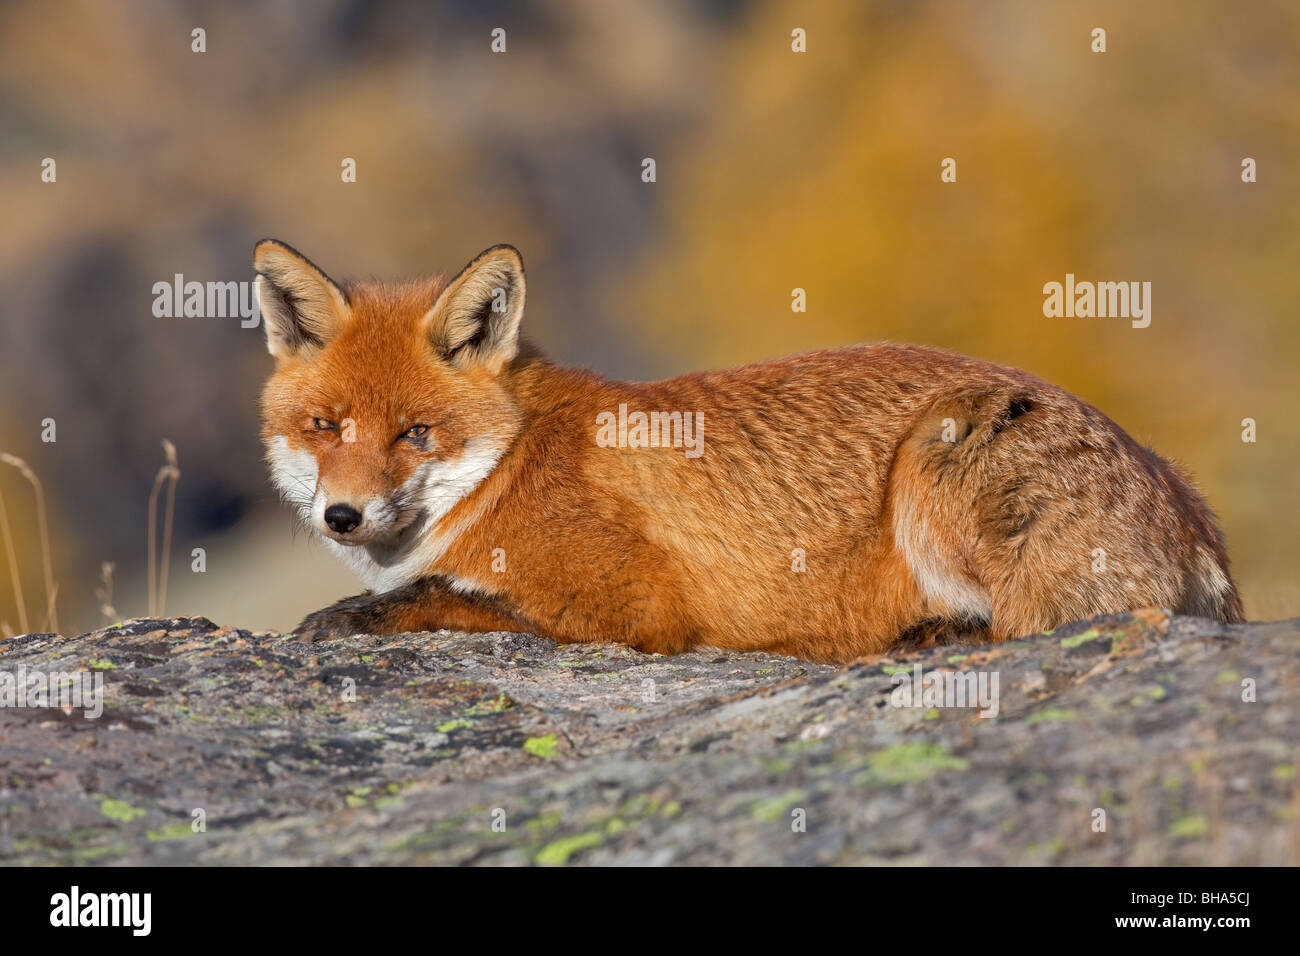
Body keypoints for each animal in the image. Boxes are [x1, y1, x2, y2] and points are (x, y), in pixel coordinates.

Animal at [256, 239, 1248, 660]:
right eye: (326, 427)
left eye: (415, 433)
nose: (342, 515)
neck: (511, 462)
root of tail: (1185, 496)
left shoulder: (635, 606)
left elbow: (448, 597)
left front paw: (354, 616)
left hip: (939, 457)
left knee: (1041, 625)